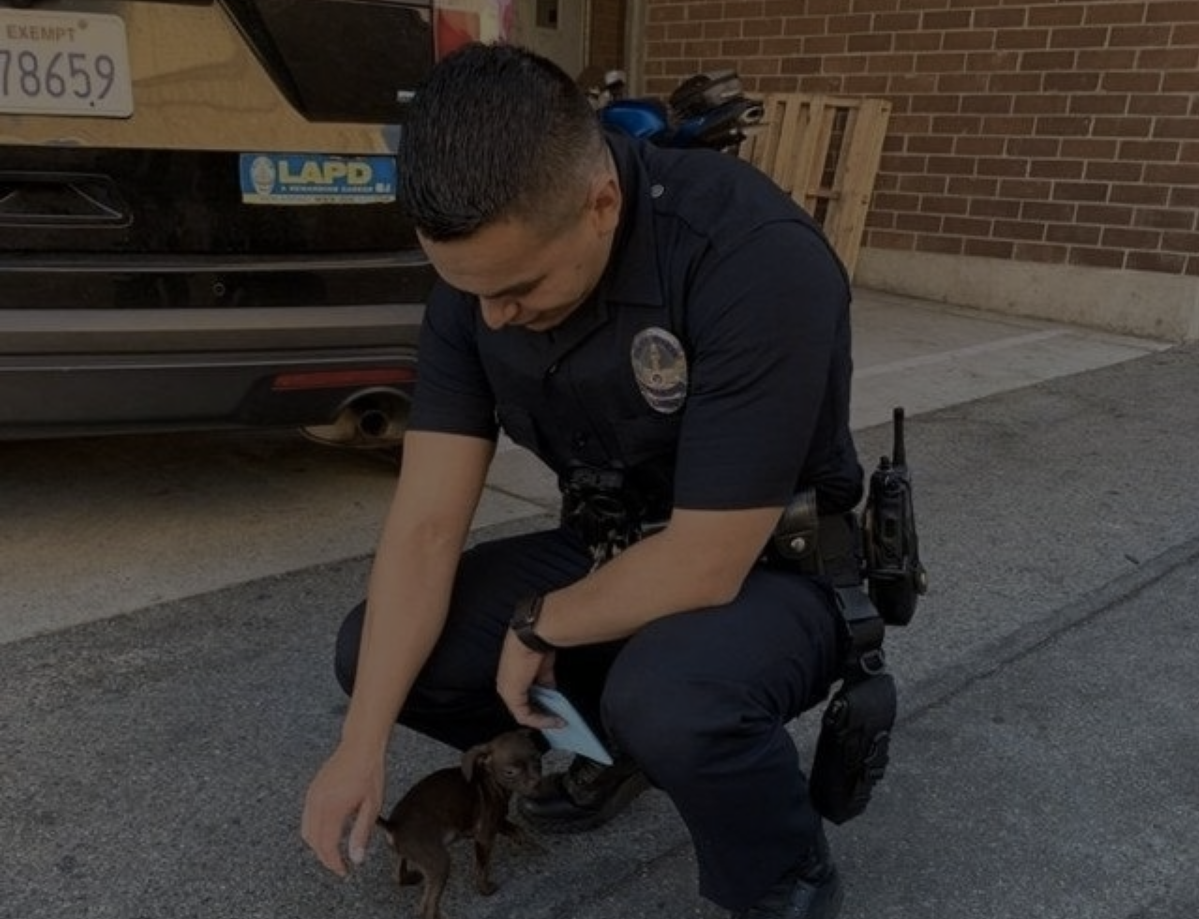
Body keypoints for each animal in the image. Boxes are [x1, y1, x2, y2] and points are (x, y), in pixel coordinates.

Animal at [374, 734, 544, 919]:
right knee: (427, 907)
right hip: (440, 863)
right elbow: (482, 867)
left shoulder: (497, 822)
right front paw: (485, 889)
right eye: (510, 772)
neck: (490, 780)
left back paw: (410, 878)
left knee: (398, 875)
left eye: (538, 760)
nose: (538, 783)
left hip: (407, 853)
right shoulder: (485, 835)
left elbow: (517, 830)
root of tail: (393, 825)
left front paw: (529, 845)